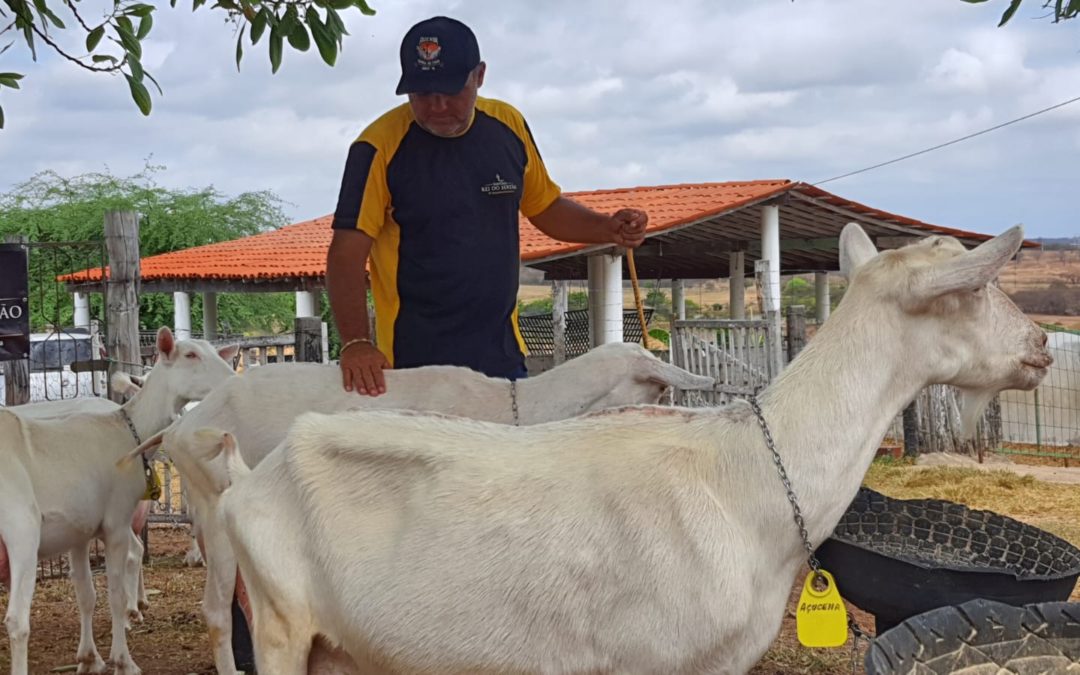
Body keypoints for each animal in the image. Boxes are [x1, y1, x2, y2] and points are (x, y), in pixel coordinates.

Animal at [0, 328, 237, 673]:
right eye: (190, 355)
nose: (232, 379)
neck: (128, 431)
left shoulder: (78, 531)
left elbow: (86, 594)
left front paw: (89, 658)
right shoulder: (115, 520)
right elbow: (113, 594)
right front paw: (123, 659)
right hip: (21, 530)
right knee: (17, 621)